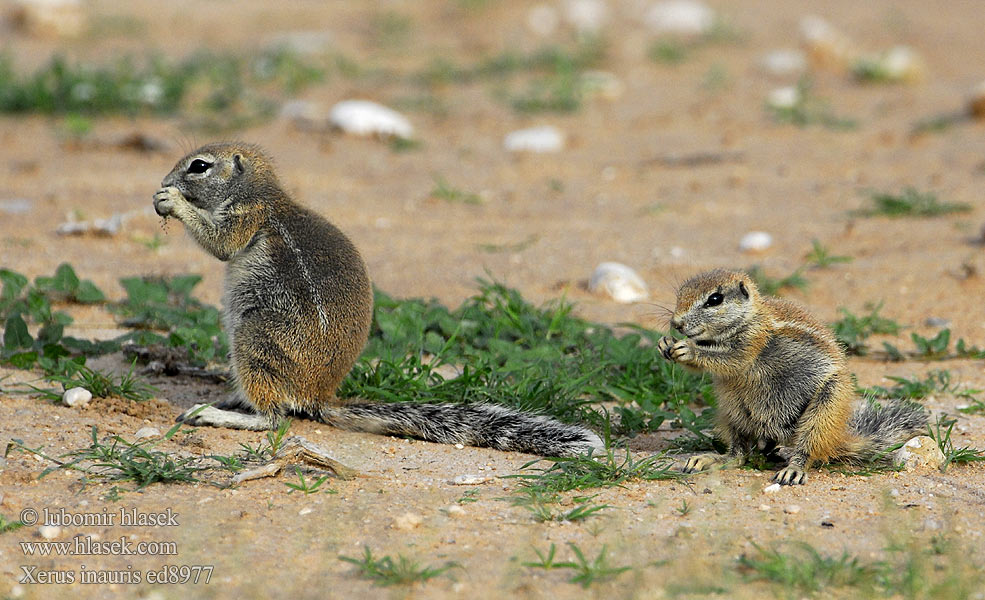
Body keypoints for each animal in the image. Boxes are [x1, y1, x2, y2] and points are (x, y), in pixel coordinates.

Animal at [153, 143, 600, 458]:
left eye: (199, 166)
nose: (164, 178)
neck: (263, 193)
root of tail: (318, 397)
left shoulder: (246, 217)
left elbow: (220, 244)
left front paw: (173, 201)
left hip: (254, 339)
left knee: (274, 418)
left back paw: (217, 414)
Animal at [656, 270, 928, 486]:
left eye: (715, 299)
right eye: (681, 292)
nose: (676, 323)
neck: (750, 318)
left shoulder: (752, 342)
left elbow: (731, 359)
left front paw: (687, 349)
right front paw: (665, 343)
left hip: (824, 409)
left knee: (805, 449)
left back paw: (793, 471)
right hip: (731, 412)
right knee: (738, 454)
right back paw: (707, 460)